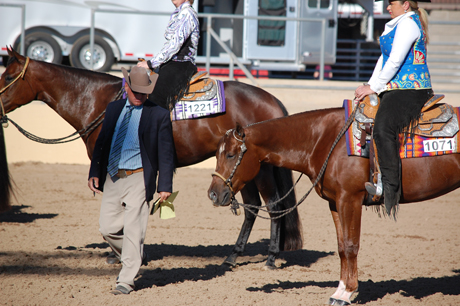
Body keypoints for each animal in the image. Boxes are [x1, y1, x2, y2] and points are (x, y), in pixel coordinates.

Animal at [0, 47, 304, 268]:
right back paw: (232, 256)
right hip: (240, 172)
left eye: (6, 76)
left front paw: (124, 254)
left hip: (260, 169)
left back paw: (271, 257)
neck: (98, 101)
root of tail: (273, 101)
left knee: (274, 205)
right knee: (252, 207)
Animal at [208, 111, 460, 304]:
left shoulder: (350, 199)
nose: (213, 193)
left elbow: (351, 246)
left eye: (231, 154)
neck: (326, 140)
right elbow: (341, 247)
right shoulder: (335, 202)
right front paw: (339, 290)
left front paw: (347, 293)